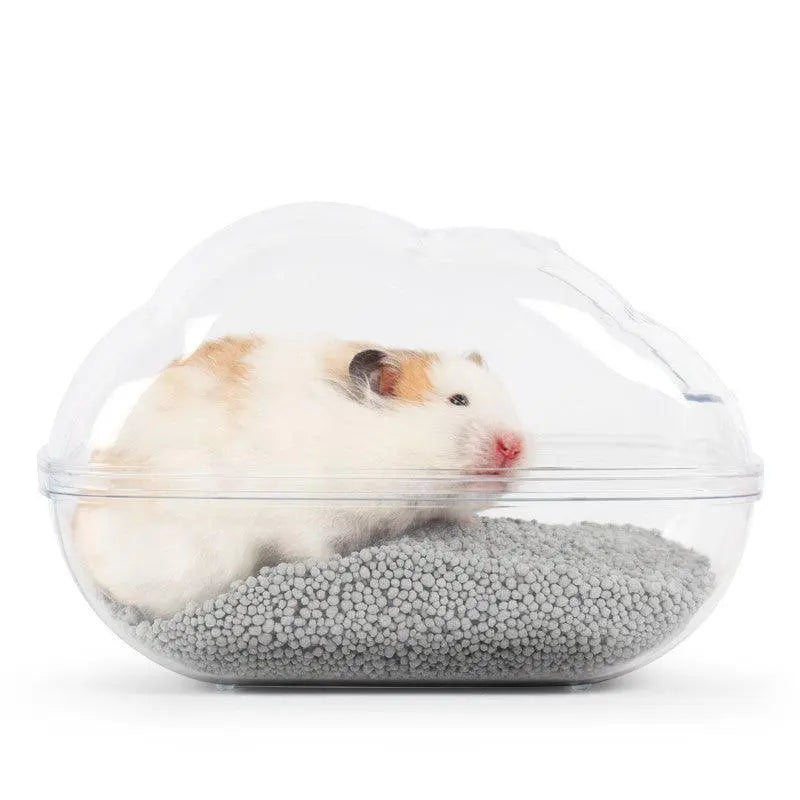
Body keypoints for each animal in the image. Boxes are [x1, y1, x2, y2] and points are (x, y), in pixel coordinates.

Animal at [73, 336, 526, 618]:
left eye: (507, 400)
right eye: (458, 400)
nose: (516, 445)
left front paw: (470, 524)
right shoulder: (302, 519)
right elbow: (312, 551)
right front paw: (330, 570)